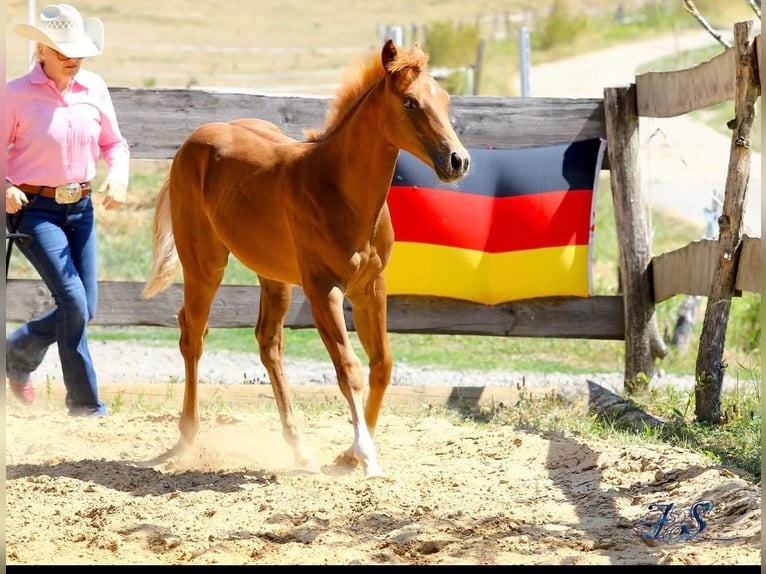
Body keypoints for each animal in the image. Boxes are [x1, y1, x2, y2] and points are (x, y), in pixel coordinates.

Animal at [142, 39, 470, 478]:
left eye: (446, 99)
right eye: (410, 102)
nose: (458, 161)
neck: (339, 191)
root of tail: (192, 141)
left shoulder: (371, 287)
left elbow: (381, 366)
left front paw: (348, 454)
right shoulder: (322, 291)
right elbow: (349, 369)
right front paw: (366, 458)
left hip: (273, 275)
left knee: (268, 343)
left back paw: (300, 450)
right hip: (205, 264)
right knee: (192, 333)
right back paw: (188, 437)